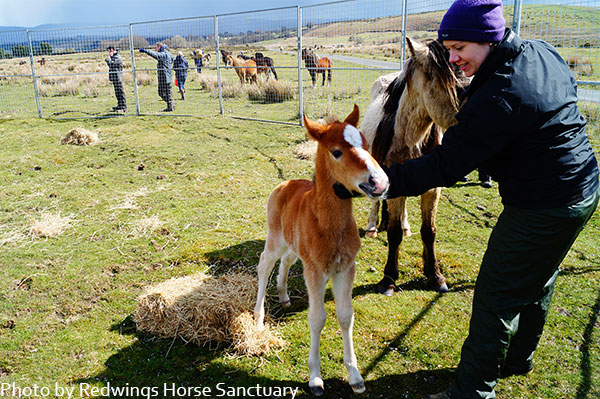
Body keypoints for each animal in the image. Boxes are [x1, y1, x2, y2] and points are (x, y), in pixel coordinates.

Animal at [254, 105, 390, 396]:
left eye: (366, 143)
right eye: (336, 151)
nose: (380, 182)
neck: (331, 225)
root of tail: (283, 185)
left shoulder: (345, 268)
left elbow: (346, 315)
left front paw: (355, 376)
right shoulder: (316, 270)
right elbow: (317, 318)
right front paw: (315, 378)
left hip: (295, 246)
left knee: (285, 262)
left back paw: (283, 296)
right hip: (276, 238)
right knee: (265, 264)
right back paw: (258, 318)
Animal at [358, 37, 472, 296]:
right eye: (458, 88)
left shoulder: (432, 189)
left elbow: (429, 232)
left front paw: (435, 275)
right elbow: (393, 234)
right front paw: (389, 278)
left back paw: (405, 224)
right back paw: (372, 226)